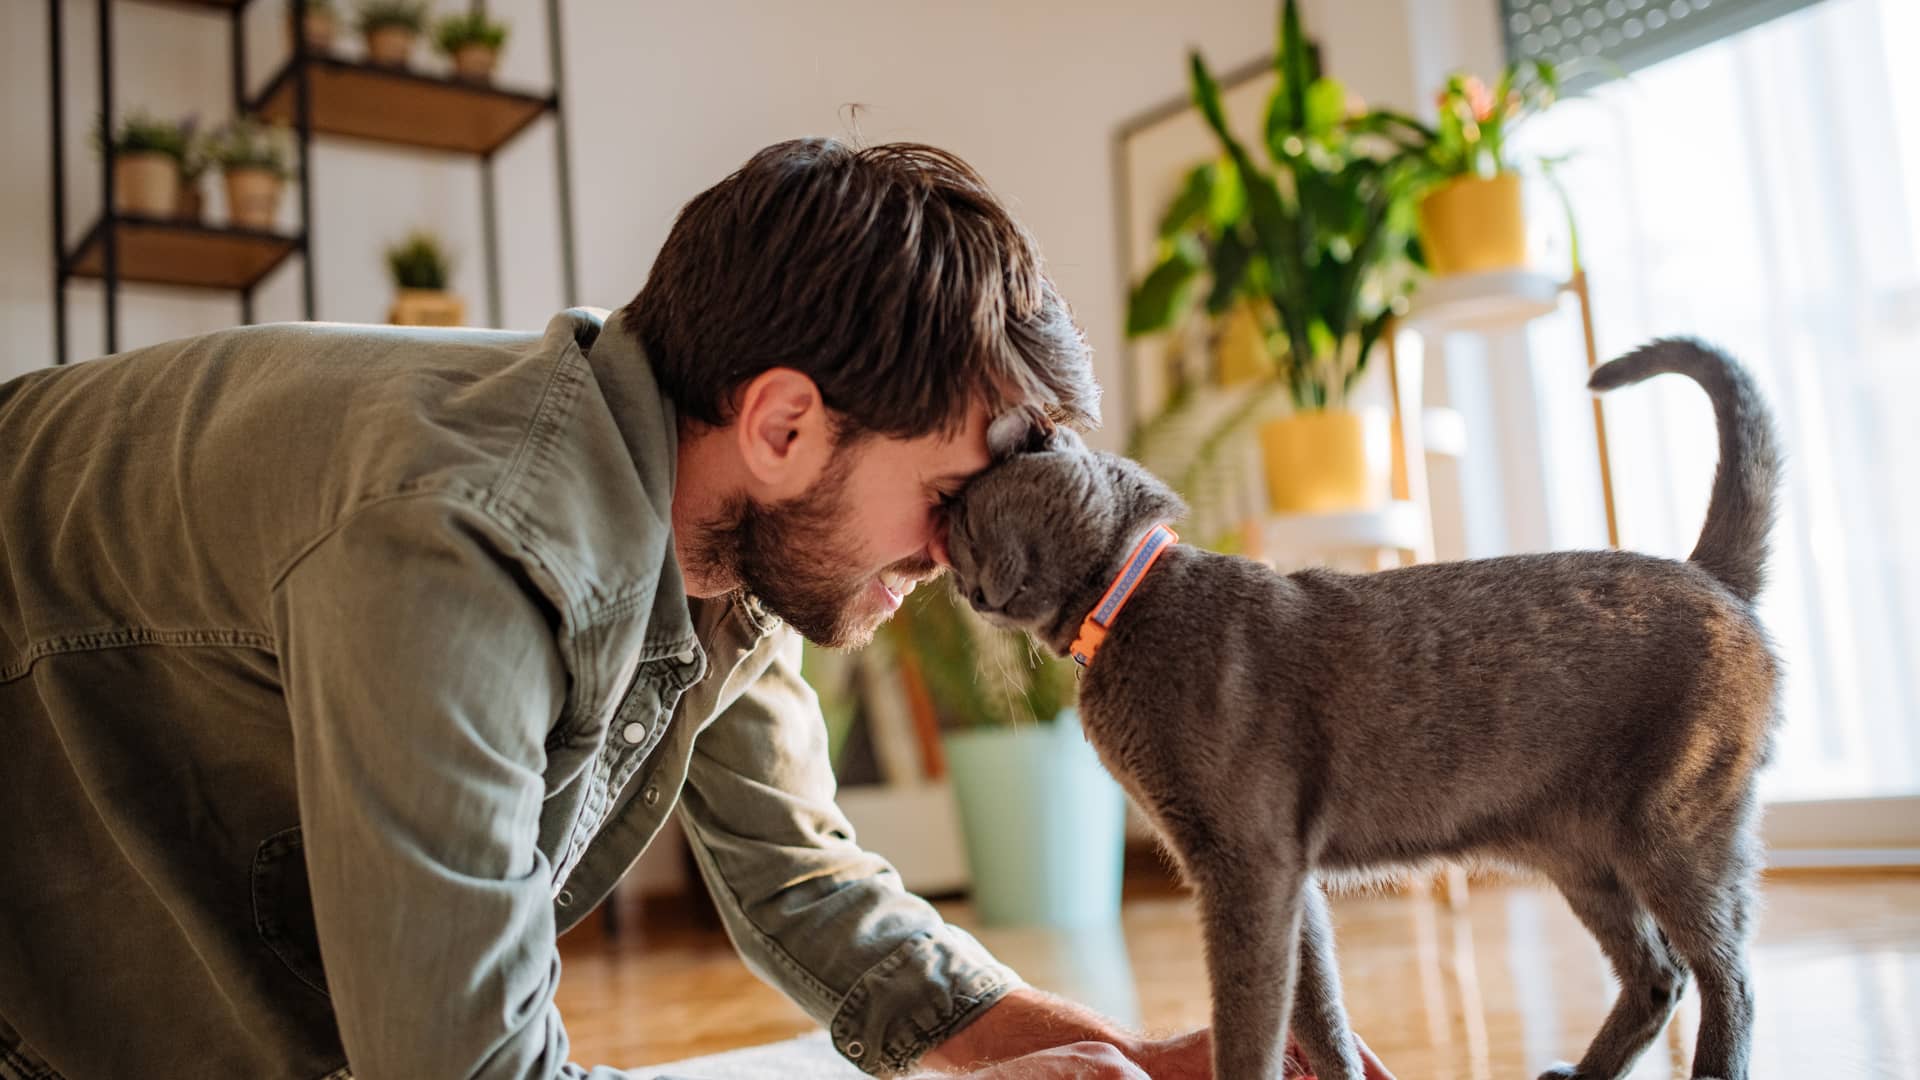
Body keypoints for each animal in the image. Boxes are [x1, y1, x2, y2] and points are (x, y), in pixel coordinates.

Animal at [944, 338, 1781, 1076]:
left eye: (962, 526)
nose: (962, 589)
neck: (1125, 607)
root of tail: (1710, 574)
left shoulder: (1247, 864)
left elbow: (1249, 1018)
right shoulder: (1286, 875)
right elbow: (1316, 1011)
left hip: (1673, 830)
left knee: (1727, 976)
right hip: (1579, 853)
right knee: (1659, 976)